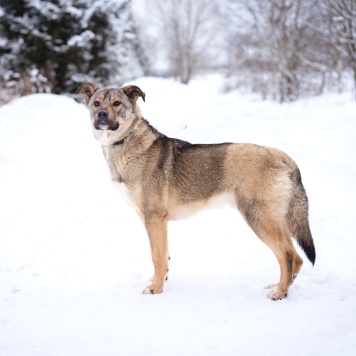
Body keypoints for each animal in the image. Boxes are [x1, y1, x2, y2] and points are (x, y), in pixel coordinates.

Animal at [76, 83, 316, 300]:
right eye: (96, 103)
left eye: (117, 103)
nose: (102, 114)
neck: (127, 141)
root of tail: (282, 156)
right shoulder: (156, 221)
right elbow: (164, 257)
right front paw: (161, 281)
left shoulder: (153, 218)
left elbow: (157, 256)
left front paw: (156, 289)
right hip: (275, 220)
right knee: (296, 257)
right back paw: (282, 286)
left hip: (259, 218)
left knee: (286, 255)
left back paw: (280, 292)